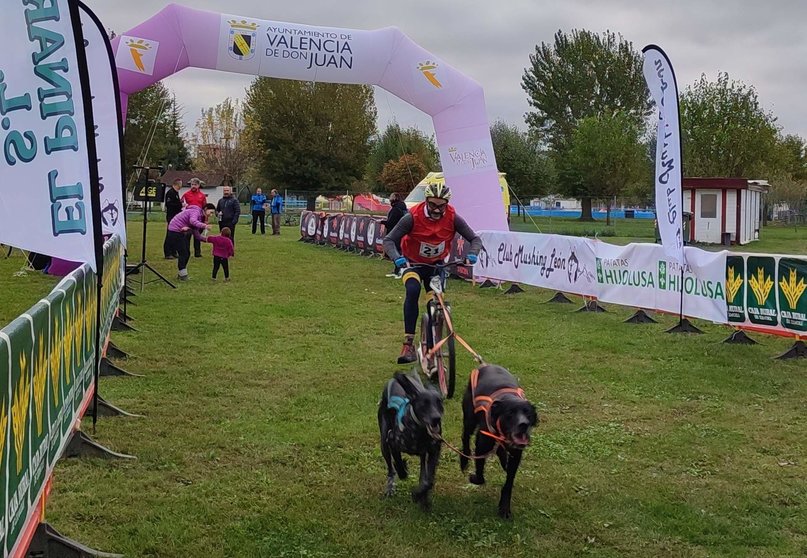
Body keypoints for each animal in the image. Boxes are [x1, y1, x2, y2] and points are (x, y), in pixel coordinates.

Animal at [380, 372, 446, 512]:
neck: (420, 431)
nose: (436, 418)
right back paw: (390, 488)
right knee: (390, 469)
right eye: (424, 403)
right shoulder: (392, 441)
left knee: (423, 473)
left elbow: (428, 481)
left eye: (439, 402)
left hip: (423, 455)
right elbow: (399, 465)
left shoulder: (434, 451)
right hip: (383, 443)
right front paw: (403, 470)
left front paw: (420, 495)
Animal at [460, 366, 536, 520]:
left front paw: (504, 508)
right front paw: (474, 477)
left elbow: (508, 483)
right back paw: (464, 460)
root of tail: (484, 365)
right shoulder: (481, 445)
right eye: (510, 413)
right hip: (469, 419)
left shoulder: (516, 454)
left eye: (528, 414)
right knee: (465, 437)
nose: (523, 424)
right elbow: (480, 475)